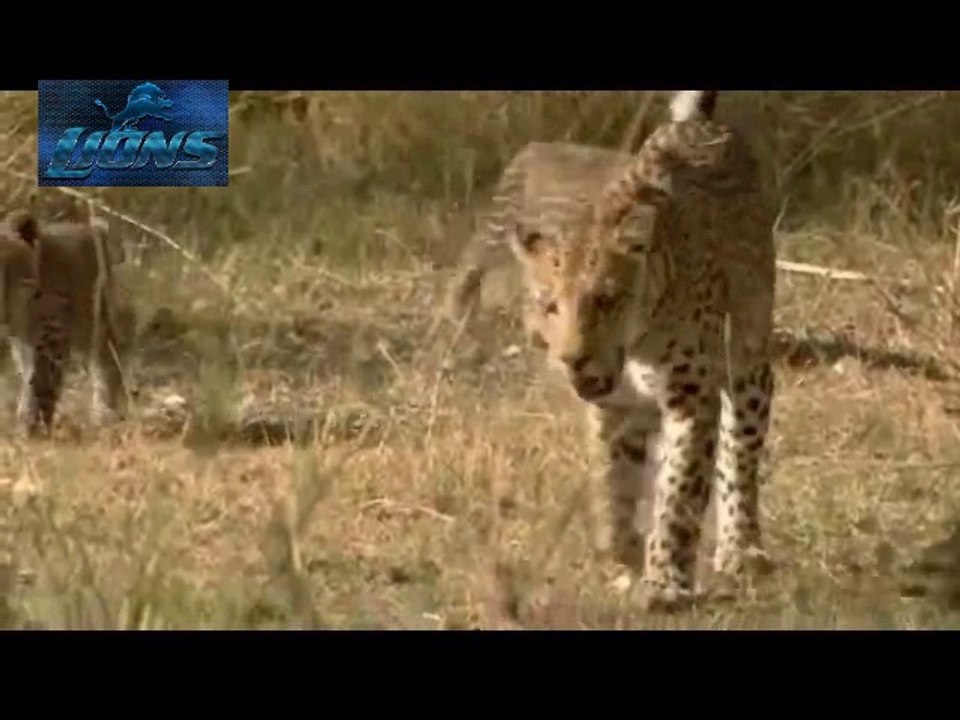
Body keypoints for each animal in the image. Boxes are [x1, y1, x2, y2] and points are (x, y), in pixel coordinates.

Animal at [0, 206, 137, 436]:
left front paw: (31, 428)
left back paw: (105, 415)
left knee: (107, 362)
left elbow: (39, 383)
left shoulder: (51, 337)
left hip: (94, 323)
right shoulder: (25, 342)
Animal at [448, 91, 778, 611]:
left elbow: (680, 490)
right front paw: (621, 557)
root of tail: (700, 125)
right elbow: (612, 483)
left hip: (747, 360)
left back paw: (741, 549)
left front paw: (665, 581)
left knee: (739, 455)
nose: (571, 358)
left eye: (605, 300)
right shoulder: (613, 408)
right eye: (549, 305)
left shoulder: (691, 396)